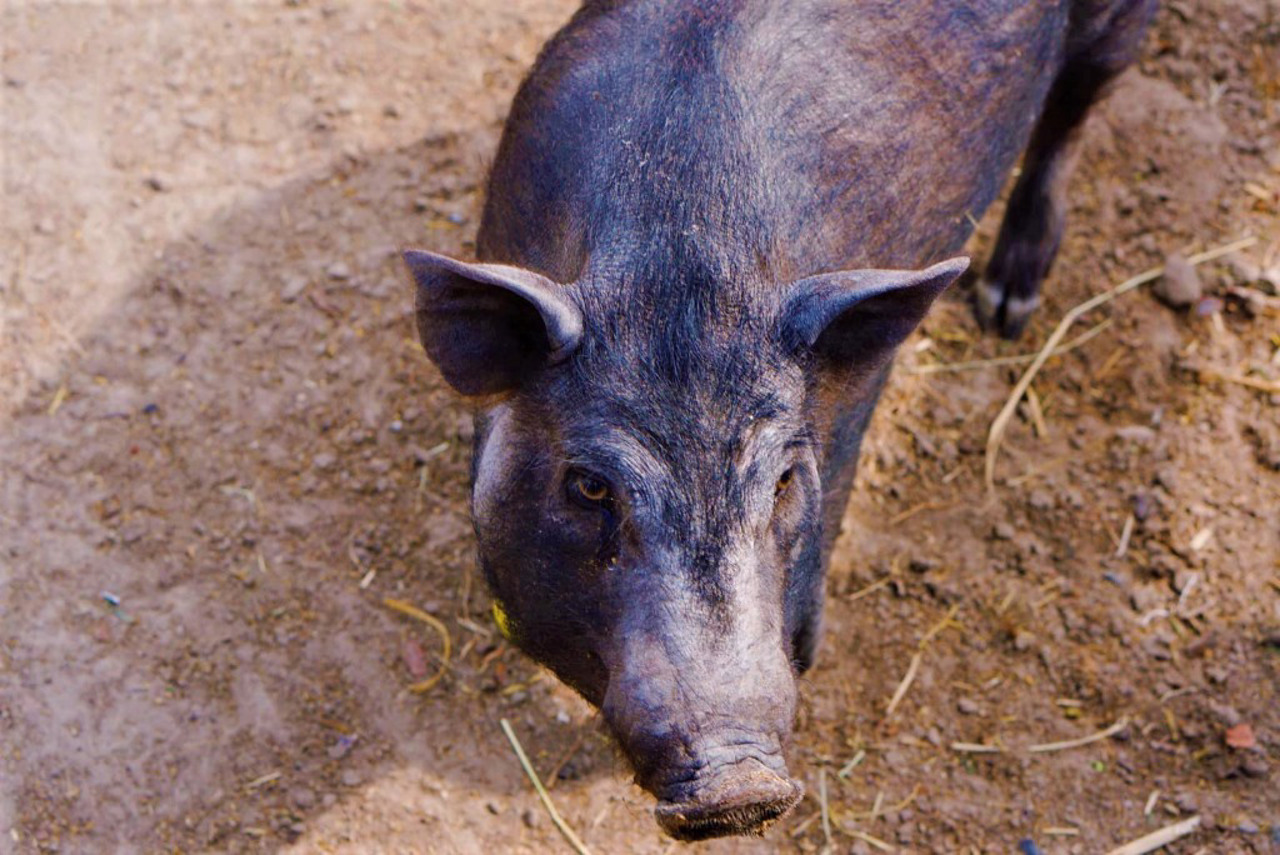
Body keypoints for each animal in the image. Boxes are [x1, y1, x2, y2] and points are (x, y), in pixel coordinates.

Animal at [404, 0, 1157, 839]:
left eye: (786, 480)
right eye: (589, 486)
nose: (741, 785)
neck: (680, 250)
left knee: (1076, 109)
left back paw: (1006, 308)